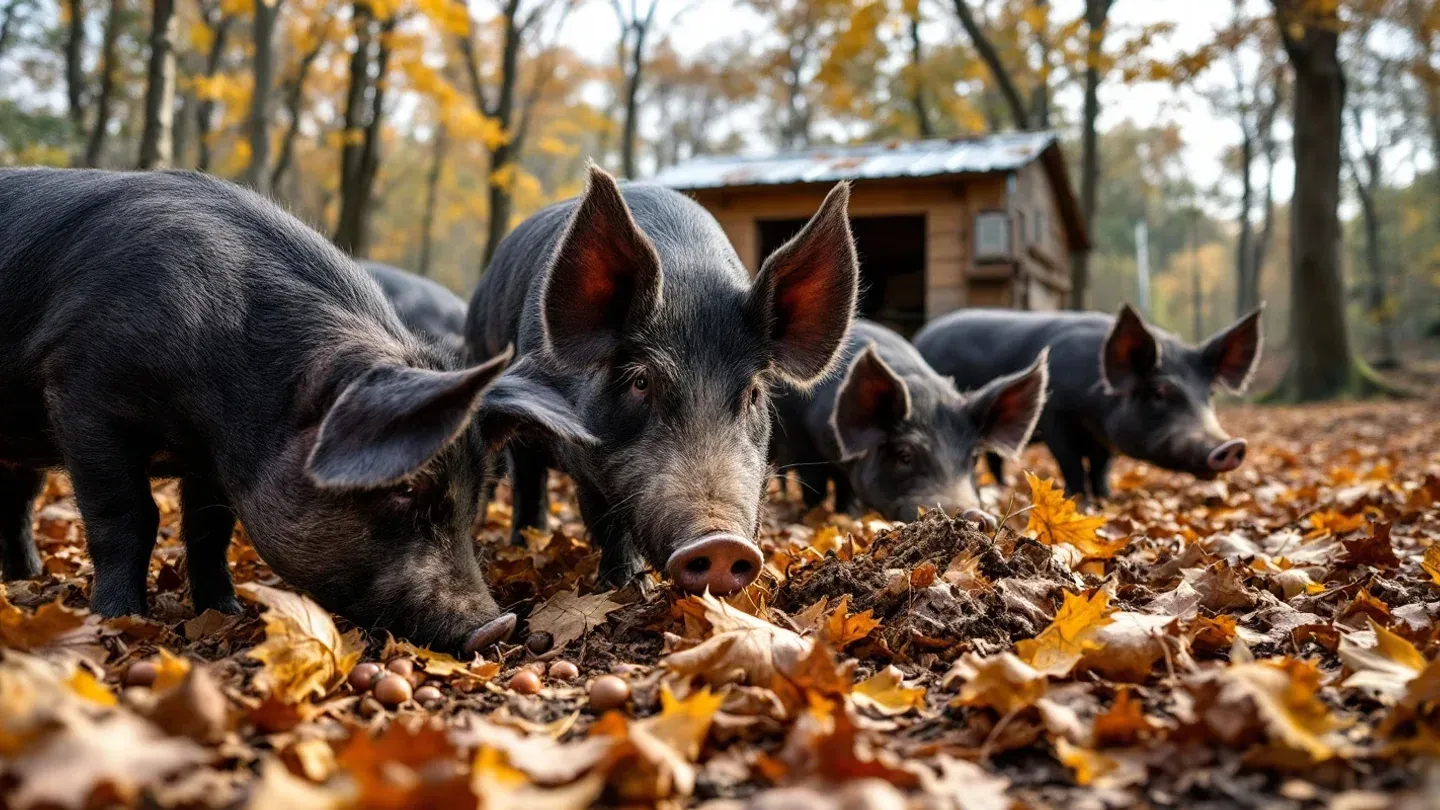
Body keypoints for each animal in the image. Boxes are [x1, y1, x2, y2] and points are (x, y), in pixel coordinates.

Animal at [0, 168, 592, 654]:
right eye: (406, 485)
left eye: (478, 494)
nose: (496, 627)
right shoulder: (83, 391)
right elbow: (129, 518)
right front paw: (119, 621)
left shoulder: (211, 461)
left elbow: (210, 530)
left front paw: (226, 612)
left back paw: (23, 582)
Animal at [467, 166, 858, 596]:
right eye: (641, 382)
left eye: (754, 392)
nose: (720, 542)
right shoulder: (587, 460)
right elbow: (606, 517)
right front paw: (627, 586)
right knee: (526, 478)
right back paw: (523, 544)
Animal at [772, 319, 1049, 522]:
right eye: (904, 455)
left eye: (973, 459)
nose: (975, 515)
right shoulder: (805, 446)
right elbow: (815, 491)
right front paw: (813, 519)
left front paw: (850, 516)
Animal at [913, 304, 1262, 499]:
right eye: (1160, 392)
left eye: (1209, 394)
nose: (1230, 446)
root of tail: (922, 335)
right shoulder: (1055, 420)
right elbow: (1071, 463)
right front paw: (1080, 500)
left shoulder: (1106, 441)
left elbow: (1101, 468)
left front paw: (1107, 498)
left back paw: (1005, 485)